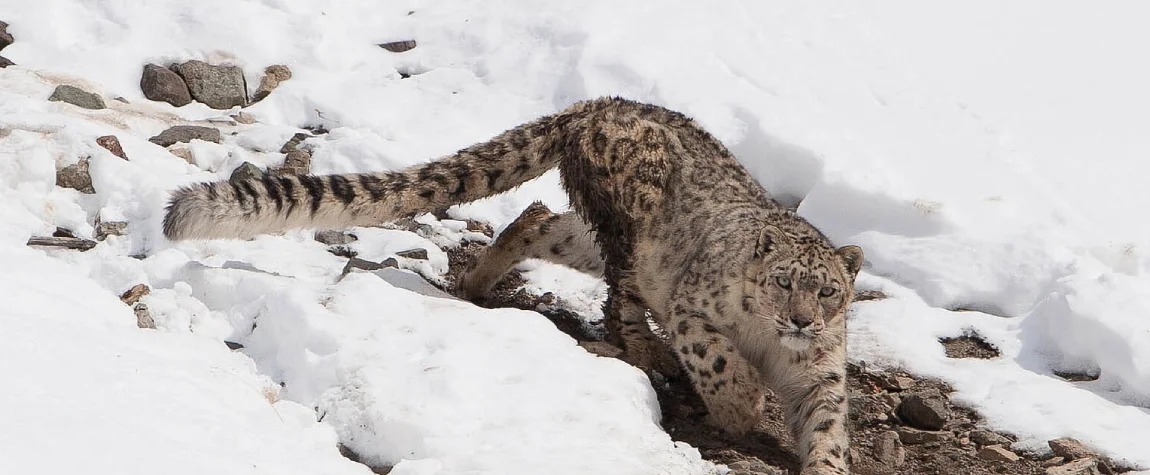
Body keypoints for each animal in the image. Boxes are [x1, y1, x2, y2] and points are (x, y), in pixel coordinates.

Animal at [162, 97, 864, 473]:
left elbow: (828, 419)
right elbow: (719, 360)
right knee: (622, 293)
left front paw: (822, 459)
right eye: (782, 283)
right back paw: (641, 348)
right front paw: (742, 407)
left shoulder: (822, 369)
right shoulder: (698, 312)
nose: (802, 320)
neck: (774, 347)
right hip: (632, 223)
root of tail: (600, 103)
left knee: (541, 223)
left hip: (592, 229)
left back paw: (480, 276)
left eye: (827, 292)